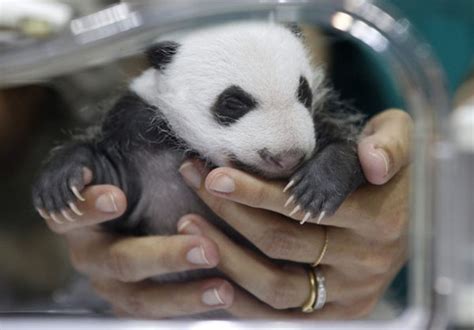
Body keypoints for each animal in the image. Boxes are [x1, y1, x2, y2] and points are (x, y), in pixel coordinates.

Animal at [32, 21, 366, 249]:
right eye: (233, 103)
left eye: (304, 93)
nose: (287, 157)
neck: (187, 146)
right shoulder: (137, 129)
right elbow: (116, 191)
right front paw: (62, 180)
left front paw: (316, 189)